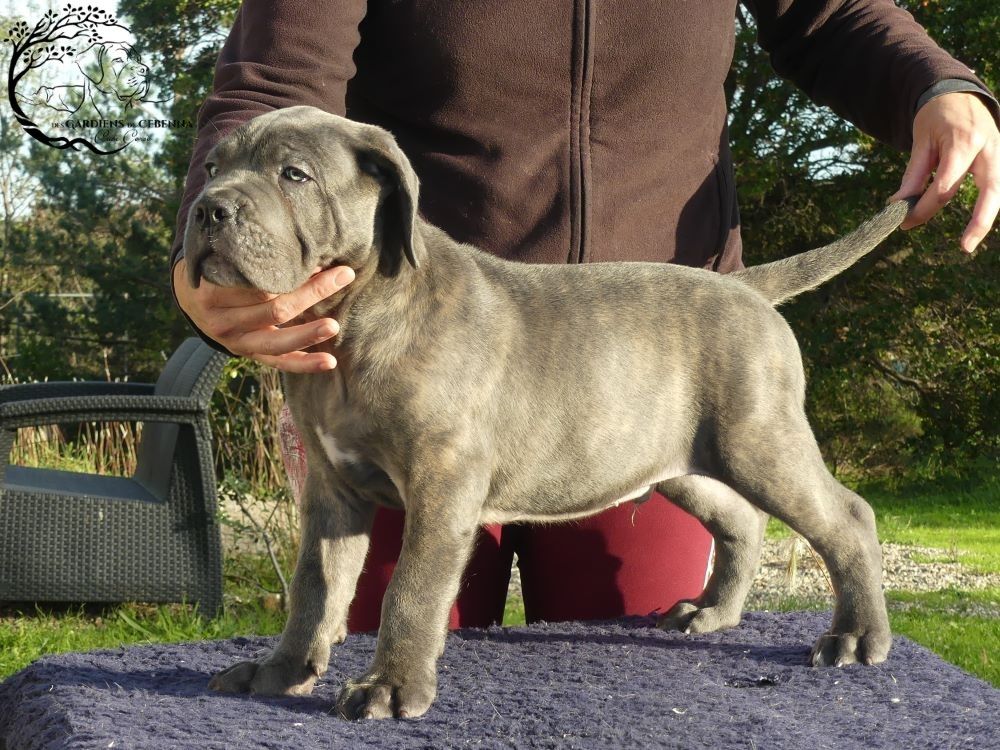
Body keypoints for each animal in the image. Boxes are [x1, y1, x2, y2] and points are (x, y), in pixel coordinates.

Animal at [186, 106, 916, 724]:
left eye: (294, 174)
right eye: (214, 165)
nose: (207, 210)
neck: (356, 315)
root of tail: (745, 287)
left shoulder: (442, 482)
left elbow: (411, 590)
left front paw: (390, 688)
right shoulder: (332, 489)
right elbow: (314, 586)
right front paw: (279, 673)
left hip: (758, 439)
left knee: (847, 517)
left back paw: (856, 637)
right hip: (679, 457)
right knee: (740, 518)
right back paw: (712, 614)